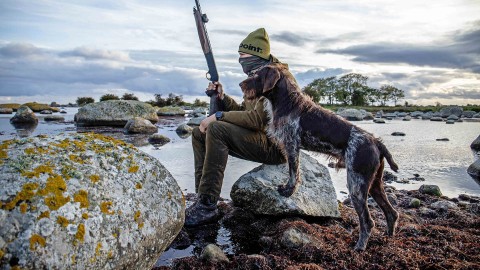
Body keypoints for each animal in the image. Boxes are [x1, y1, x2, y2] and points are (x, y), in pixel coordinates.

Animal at [240, 63, 402, 251]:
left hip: (356, 186)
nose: (241, 85)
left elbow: (293, 173)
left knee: (368, 222)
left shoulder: (291, 146)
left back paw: (359, 247)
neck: (288, 102)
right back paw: (389, 238)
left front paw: (288, 191)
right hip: (374, 183)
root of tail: (376, 142)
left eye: (257, 75)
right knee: (392, 213)